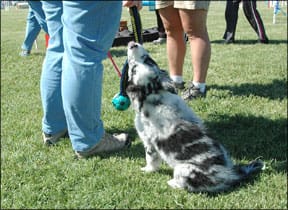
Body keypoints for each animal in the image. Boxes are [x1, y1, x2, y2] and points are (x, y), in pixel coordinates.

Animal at [125, 41, 264, 194]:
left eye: (144, 61)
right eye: (136, 67)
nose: (133, 44)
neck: (154, 92)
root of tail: (231, 174)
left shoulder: (148, 141)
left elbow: (151, 159)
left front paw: (147, 170)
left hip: (182, 169)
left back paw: (172, 183)